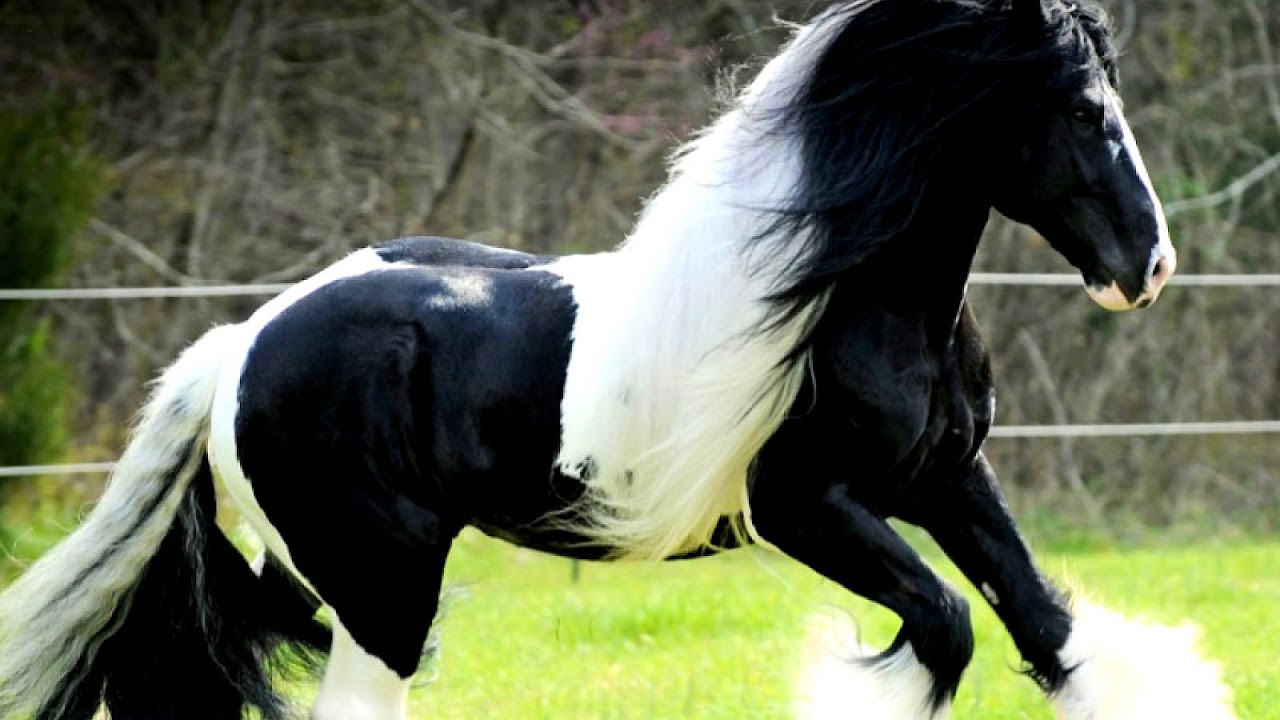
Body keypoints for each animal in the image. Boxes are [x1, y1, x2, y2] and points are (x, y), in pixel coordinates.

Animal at [0, 1, 1238, 718]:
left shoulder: (943, 478)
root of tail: (237, 345)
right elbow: (941, 626)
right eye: (1079, 108)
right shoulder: (808, 507)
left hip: (322, 577)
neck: (850, 301)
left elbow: (1043, 625)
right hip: (381, 582)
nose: (1147, 265)